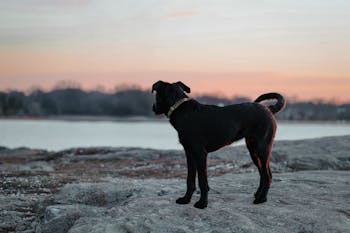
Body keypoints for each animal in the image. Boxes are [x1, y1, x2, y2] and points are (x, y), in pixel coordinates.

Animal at [152, 80, 286, 209]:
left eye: (156, 95)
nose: (153, 107)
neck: (180, 108)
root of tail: (269, 109)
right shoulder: (189, 153)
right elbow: (190, 180)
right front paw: (185, 199)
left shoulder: (200, 154)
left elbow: (202, 181)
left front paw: (202, 203)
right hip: (253, 150)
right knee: (263, 174)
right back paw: (258, 194)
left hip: (262, 148)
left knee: (267, 175)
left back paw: (261, 199)